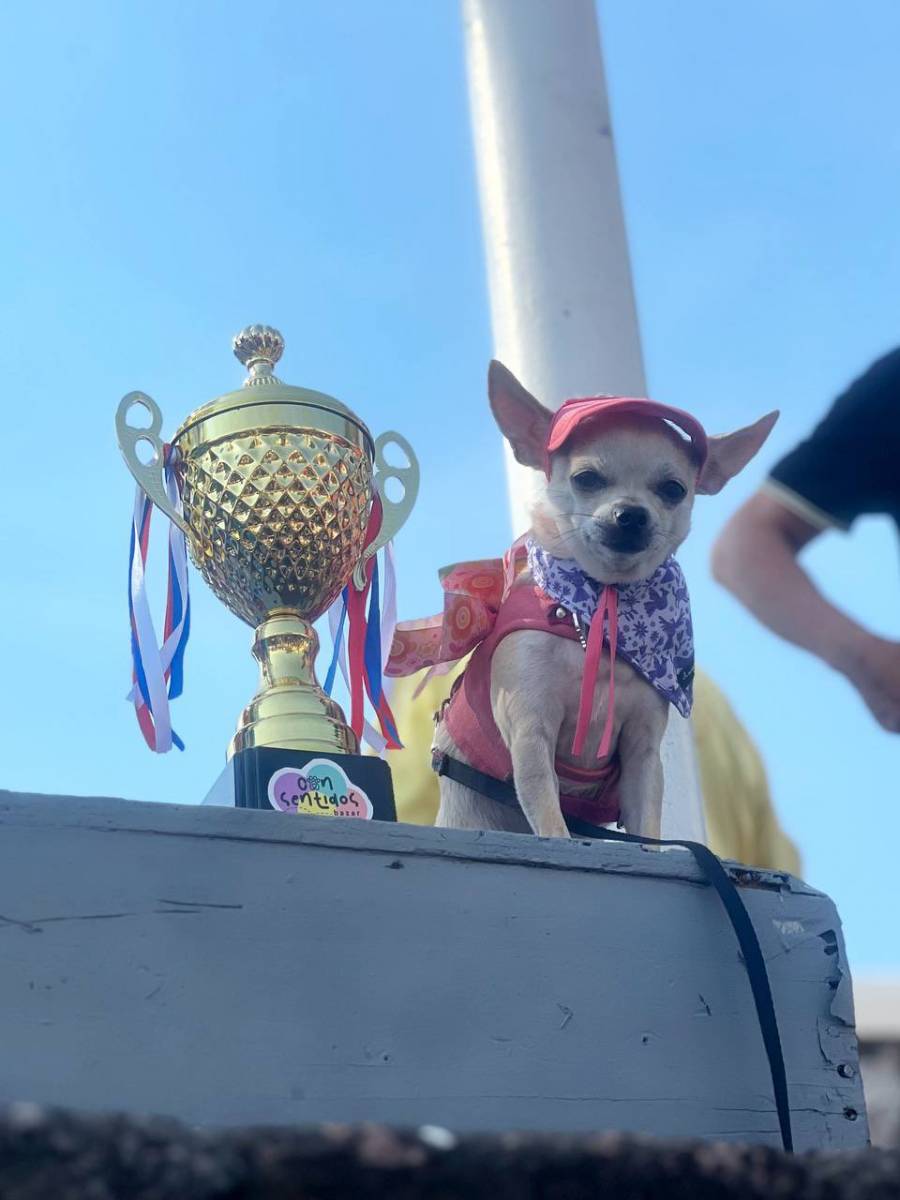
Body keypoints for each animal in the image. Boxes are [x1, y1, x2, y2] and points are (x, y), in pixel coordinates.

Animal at [391, 360, 777, 840]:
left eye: (673, 489)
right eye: (586, 479)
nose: (631, 513)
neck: (601, 607)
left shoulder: (642, 751)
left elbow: (647, 828)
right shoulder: (531, 732)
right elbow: (551, 819)